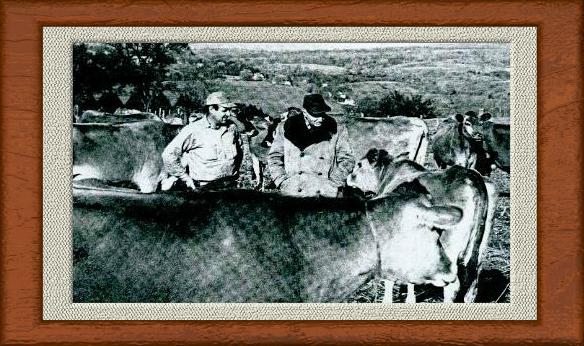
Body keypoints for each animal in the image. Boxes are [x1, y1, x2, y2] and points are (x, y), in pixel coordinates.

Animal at [346, 149, 498, 302]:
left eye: (359, 164)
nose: (347, 178)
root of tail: (471, 177)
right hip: (480, 247)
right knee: (474, 280)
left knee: (453, 286)